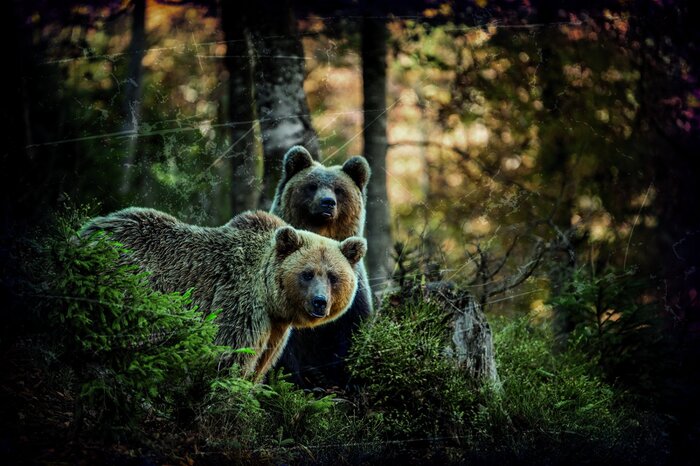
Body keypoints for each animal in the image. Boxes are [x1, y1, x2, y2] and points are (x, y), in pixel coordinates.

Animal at [80, 207, 367, 382]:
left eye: (333, 276)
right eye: (307, 273)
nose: (320, 302)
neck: (270, 298)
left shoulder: (275, 329)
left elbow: (261, 364)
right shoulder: (240, 303)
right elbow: (231, 356)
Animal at [270, 145, 372, 387]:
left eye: (338, 189)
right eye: (312, 186)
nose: (327, 202)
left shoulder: (353, 293)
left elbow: (352, 331)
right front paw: (298, 382)